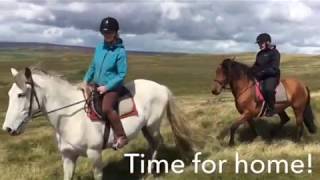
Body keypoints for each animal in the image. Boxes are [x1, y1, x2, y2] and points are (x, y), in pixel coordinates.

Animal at [1, 67, 192, 179]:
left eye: (21, 94)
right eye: (9, 94)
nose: (8, 129)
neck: (70, 117)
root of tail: (161, 87)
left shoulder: (94, 154)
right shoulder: (68, 157)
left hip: (152, 126)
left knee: (157, 143)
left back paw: (151, 173)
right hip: (145, 127)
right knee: (153, 145)